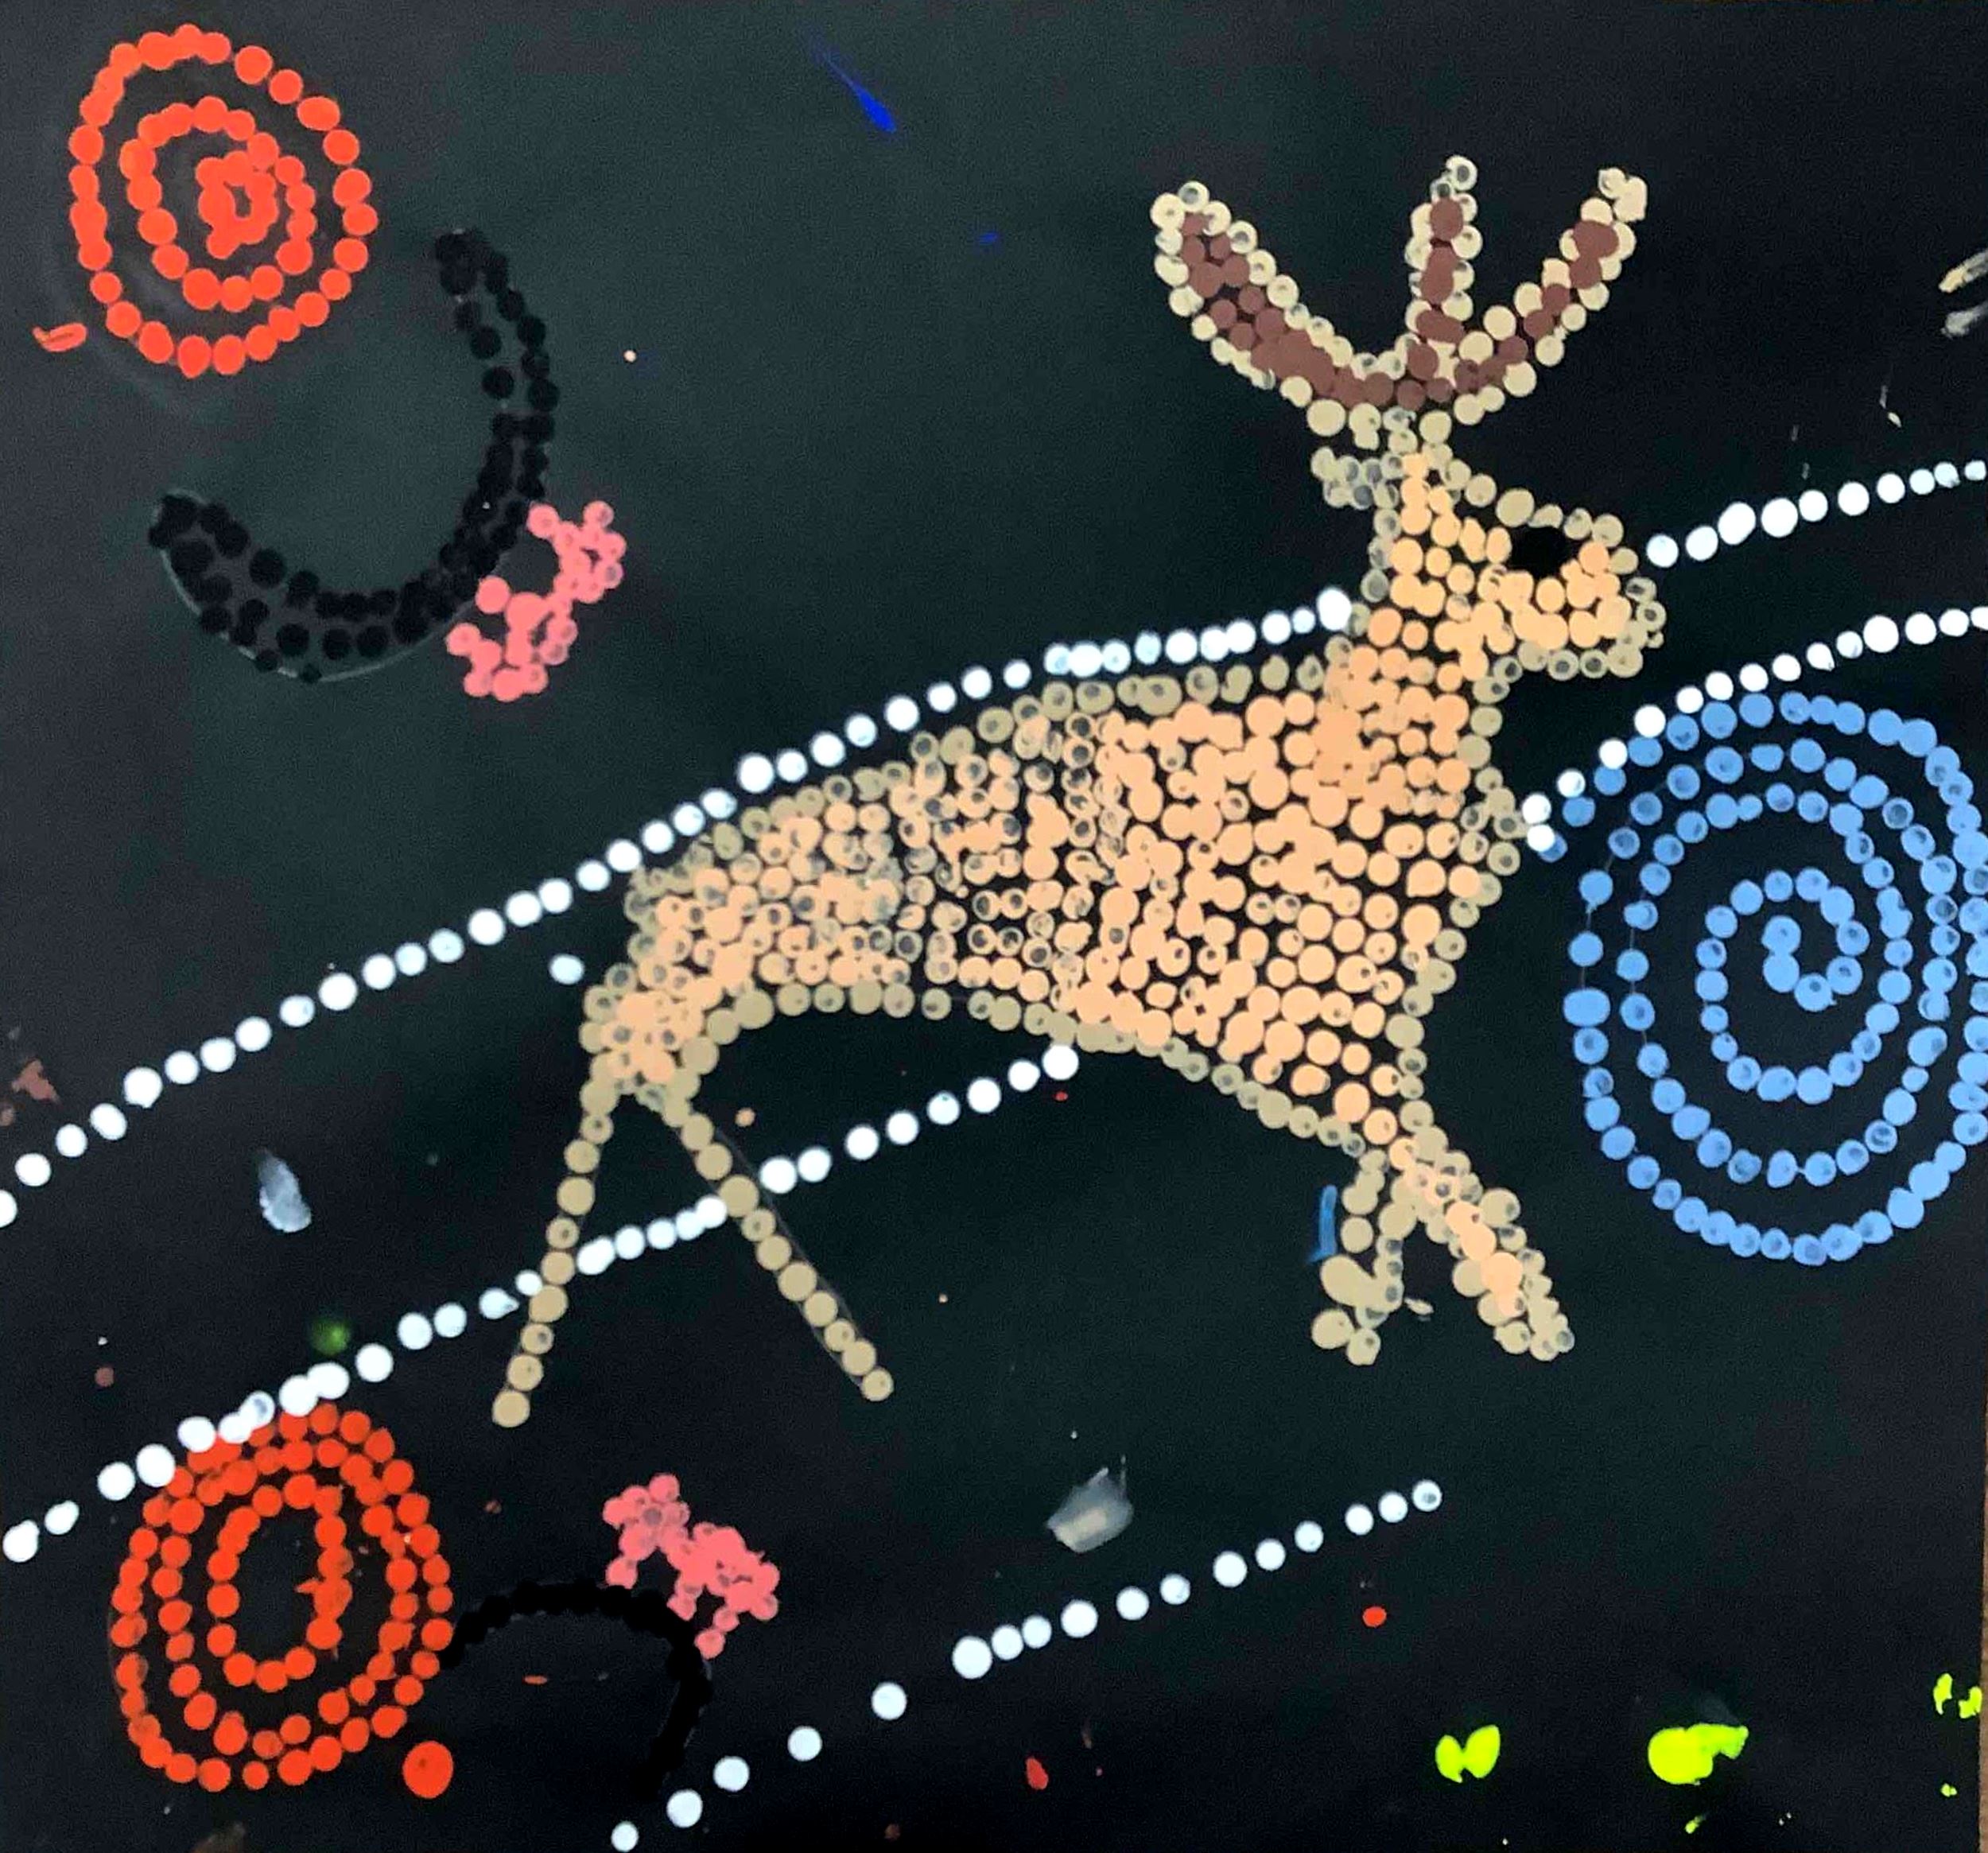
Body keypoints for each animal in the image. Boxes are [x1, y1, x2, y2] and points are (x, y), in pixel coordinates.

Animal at [489, 156, 1667, 1430]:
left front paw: (1368, 1311)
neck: (1357, 744)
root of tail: (661, 901)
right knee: (622, 1040)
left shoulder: (1363, 1047)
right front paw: (1512, 1322)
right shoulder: (1329, 1042)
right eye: (1531, 545)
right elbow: (1446, 1192)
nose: (1628, 601)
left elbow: (1387, 1201)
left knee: (635, 1049)